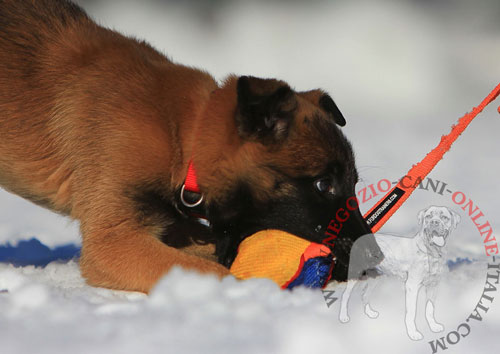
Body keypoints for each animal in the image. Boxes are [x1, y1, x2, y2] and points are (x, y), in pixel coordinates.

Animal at [0, 0, 382, 294]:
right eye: (323, 184)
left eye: (353, 183)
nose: (375, 257)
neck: (181, 133)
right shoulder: (113, 242)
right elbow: (216, 271)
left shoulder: (168, 223)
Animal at [340, 206, 460, 342]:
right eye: (428, 216)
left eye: (444, 217)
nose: (434, 222)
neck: (431, 252)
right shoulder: (412, 286)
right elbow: (412, 312)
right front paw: (413, 333)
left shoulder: (433, 286)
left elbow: (430, 309)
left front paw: (434, 326)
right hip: (355, 273)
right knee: (345, 295)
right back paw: (343, 317)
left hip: (376, 277)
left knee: (365, 294)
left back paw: (370, 314)